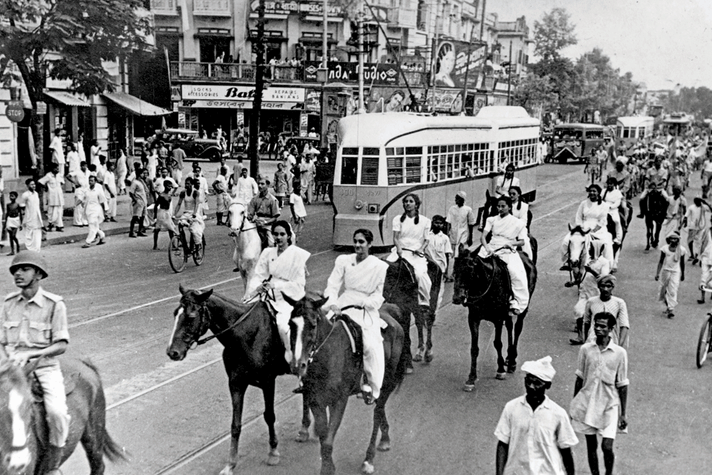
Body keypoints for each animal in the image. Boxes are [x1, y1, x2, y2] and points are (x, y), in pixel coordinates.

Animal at [167, 286, 306, 475]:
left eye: (191, 316)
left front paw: (273, 452)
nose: (172, 352)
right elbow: (235, 425)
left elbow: (269, 415)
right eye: (175, 313)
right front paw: (231, 464)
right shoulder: (235, 383)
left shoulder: (268, 381)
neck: (245, 334)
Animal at [284, 294, 406, 475]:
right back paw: (385, 438)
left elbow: (328, 441)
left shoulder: (339, 401)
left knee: (377, 412)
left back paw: (369, 458)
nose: (298, 365)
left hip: (387, 382)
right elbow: (324, 437)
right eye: (291, 324)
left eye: (313, 325)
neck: (328, 355)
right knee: (380, 407)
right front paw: (328, 465)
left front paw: (328, 469)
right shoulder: (316, 400)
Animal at [454, 247, 536, 392]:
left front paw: (500, 369)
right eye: (454, 268)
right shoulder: (473, 319)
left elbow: (497, 343)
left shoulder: (498, 319)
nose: (457, 297)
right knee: (509, 326)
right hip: (506, 314)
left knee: (517, 328)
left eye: (469, 269)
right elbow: (474, 348)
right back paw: (509, 357)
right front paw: (471, 378)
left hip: (524, 306)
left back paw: (512, 360)